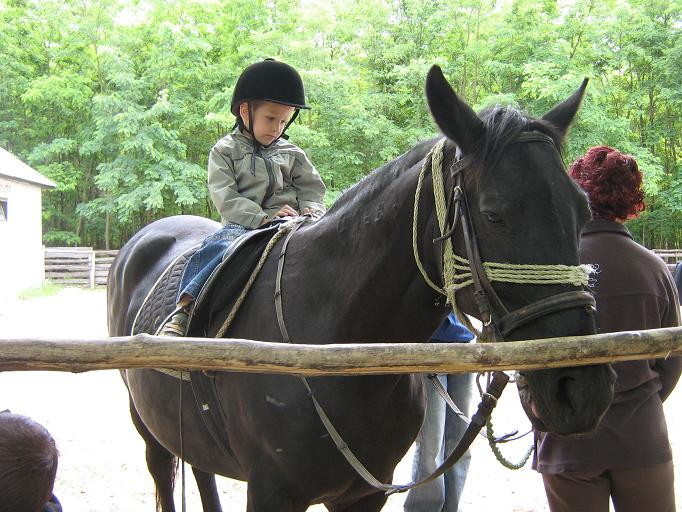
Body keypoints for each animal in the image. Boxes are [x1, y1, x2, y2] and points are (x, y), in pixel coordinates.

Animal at [109, 66, 612, 510]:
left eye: (583, 211)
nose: (580, 388)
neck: (336, 348)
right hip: (148, 428)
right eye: (494, 215)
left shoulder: (365, 495)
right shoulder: (272, 492)